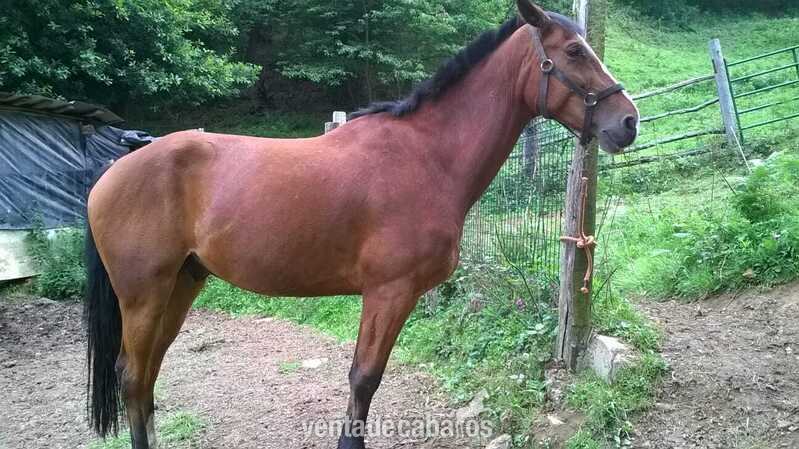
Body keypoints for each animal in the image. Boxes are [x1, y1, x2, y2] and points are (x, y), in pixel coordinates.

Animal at [84, 1, 639, 448]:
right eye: (574, 52)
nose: (628, 121)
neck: (426, 157)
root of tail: (113, 170)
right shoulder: (389, 292)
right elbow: (364, 379)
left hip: (183, 284)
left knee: (148, 377)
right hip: (145, 294)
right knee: (132, 377)